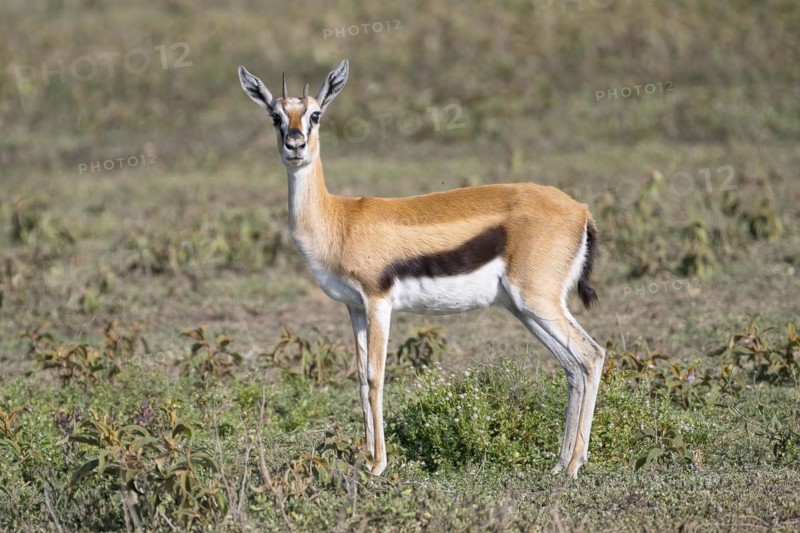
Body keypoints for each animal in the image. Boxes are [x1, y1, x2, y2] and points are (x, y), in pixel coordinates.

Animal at [238, 59, 606, 477]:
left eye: (315, 114)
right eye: (275, 116)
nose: (295, 145)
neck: (339, 220)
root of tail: (580, 210)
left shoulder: (378, 301)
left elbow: (375, 376)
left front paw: (378, 465)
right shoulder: (354, 307)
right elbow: (360, 380)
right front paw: (366, 459)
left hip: (537, 301)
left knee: (591, 356)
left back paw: (574, 465)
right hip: (525, 309)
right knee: (573, 366)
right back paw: (560, 463)